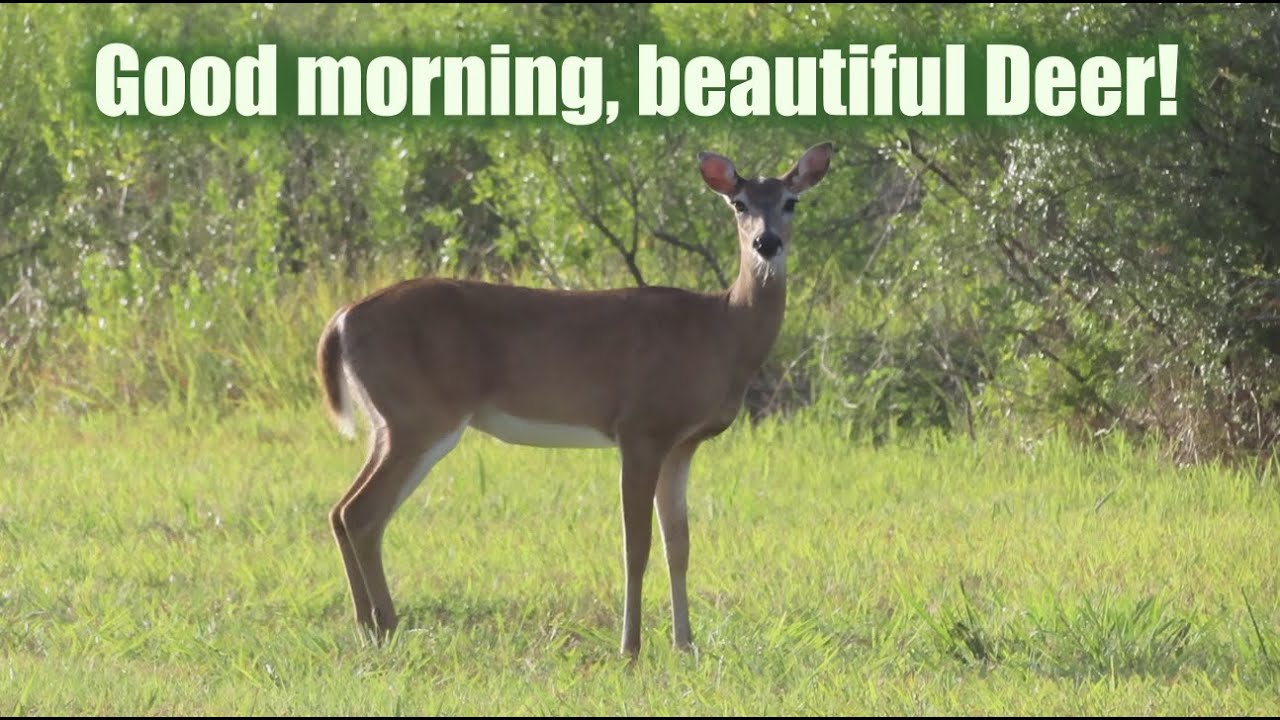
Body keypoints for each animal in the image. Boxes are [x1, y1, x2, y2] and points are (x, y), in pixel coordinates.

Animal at [315, 142, 834, 657]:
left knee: (346, 511)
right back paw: (381, 627)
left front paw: (685, 646)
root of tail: (341, 318)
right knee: (361, 513)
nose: (767, 243)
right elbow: (636, 544)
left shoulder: (682, 443)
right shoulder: (640, 427)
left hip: (389, 423)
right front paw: (630, 648)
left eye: (791, 201)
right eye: (739, 204)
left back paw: (373, 626)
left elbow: (679, 544)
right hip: (421, 417)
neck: (721, 331)